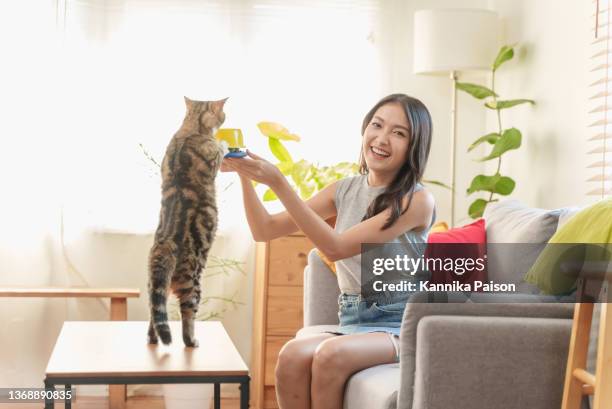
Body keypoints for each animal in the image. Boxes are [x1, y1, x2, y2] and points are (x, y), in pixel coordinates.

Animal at [148, 96, 227, 348]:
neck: (190, 130)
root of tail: (165, 245)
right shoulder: (213, 159)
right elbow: (219, 150)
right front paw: (223, 143)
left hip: (156, 286)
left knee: (154, 315)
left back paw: (153, 341)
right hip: (193, 282)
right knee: (187, 317)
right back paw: (192, 341)